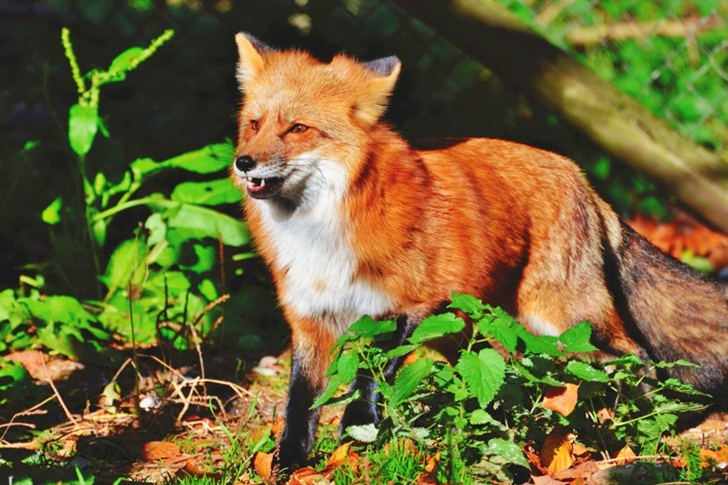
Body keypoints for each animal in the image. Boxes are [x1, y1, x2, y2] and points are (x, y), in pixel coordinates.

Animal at [230, 33, 728, 474]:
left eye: (298, 128)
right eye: (254, 124)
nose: (243, 162)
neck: (320, 235)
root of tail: (579, 174)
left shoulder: (409, 307)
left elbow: (370, 382)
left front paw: (358, 440)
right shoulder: (311, 322)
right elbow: (299, 406)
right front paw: (288, 463)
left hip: (561, 317)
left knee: (636, 356)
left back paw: (636, 424)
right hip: (475, 331)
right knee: (512, 376)